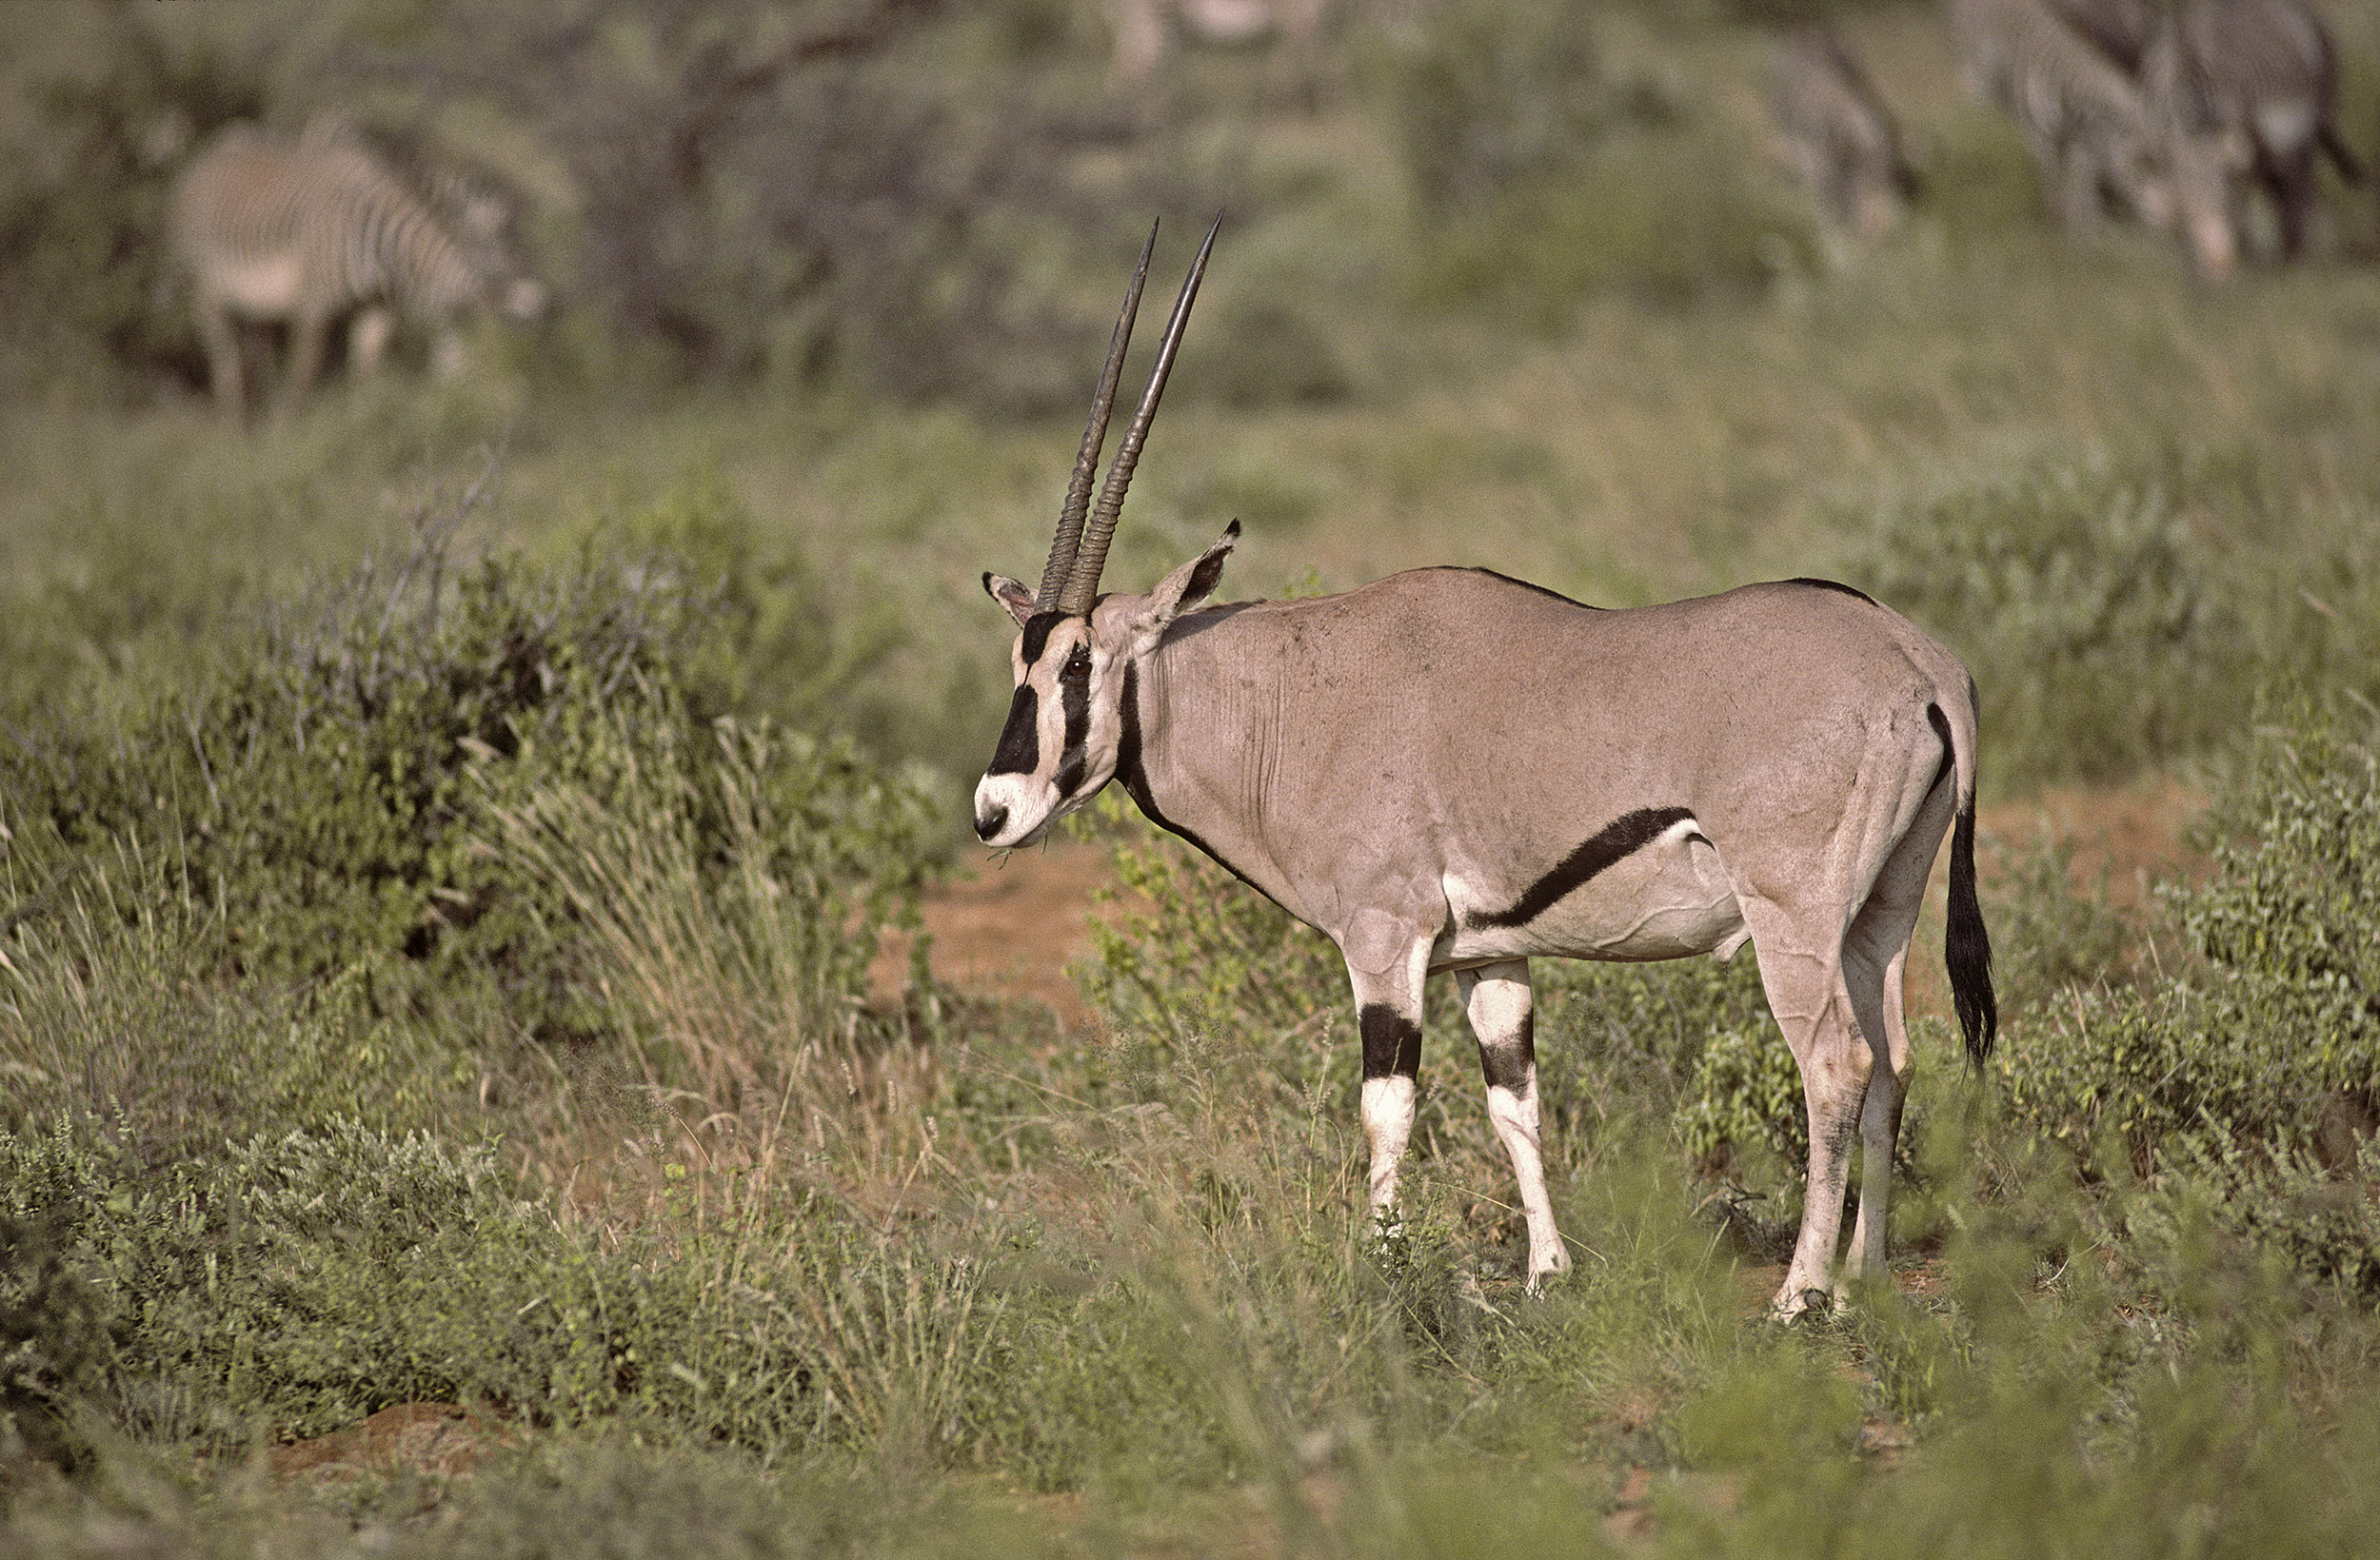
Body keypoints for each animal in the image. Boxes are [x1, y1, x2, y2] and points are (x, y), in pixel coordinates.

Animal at [171, 122, 545, 423]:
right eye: (487, 368)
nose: (515, 421)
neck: (383, 246)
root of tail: (212, 150)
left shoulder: (377, 308)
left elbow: (368, 371)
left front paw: (364, 425)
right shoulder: (314, 306)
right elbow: (303, 376)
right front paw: (288, 439)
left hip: (257, 306)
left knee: (253, 359)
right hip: (204, 288)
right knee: (224, 361)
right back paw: (234, 432)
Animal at [2142, 0, 2361, 265]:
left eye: (2224, 191)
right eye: (2185, 207)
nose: (2217, 256)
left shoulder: (2237, 146)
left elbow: (2241, 201)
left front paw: (2244, 252)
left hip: (2305, 126)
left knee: (2300, 185)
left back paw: (2292, 256)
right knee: (2283, 189)